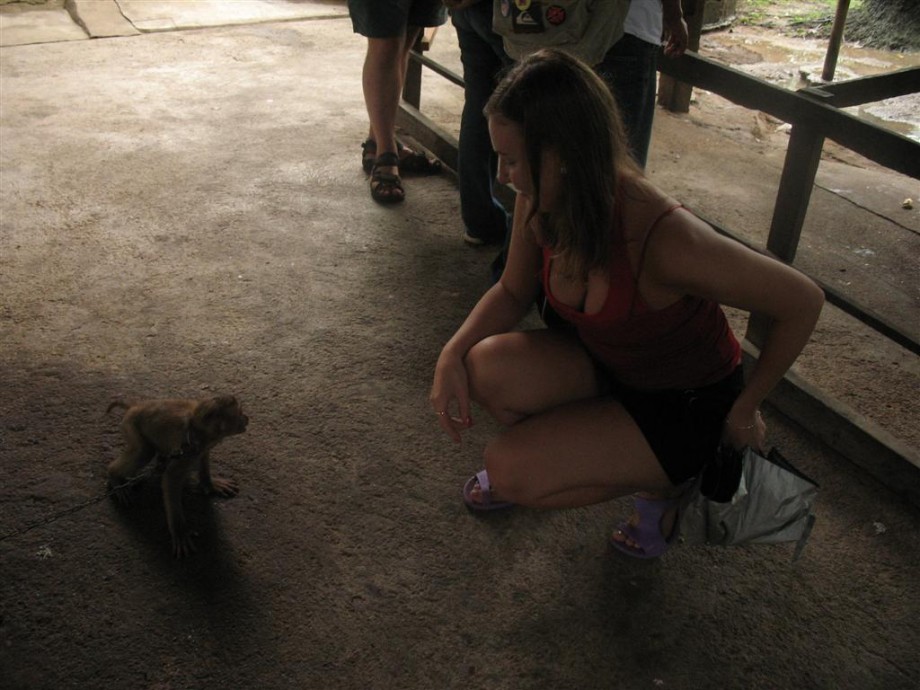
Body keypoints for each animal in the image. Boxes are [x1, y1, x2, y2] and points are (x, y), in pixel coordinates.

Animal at [107, 396, 248, 556]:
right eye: (240, 412)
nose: (246, 418)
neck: (197, 429)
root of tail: (135, 406)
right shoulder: (188, 450)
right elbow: (171, 478)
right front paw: (179, 531)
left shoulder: (201, 446)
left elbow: (203, 456)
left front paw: (209, 484)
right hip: (131, 425)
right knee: (144, 451)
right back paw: (114, 476)